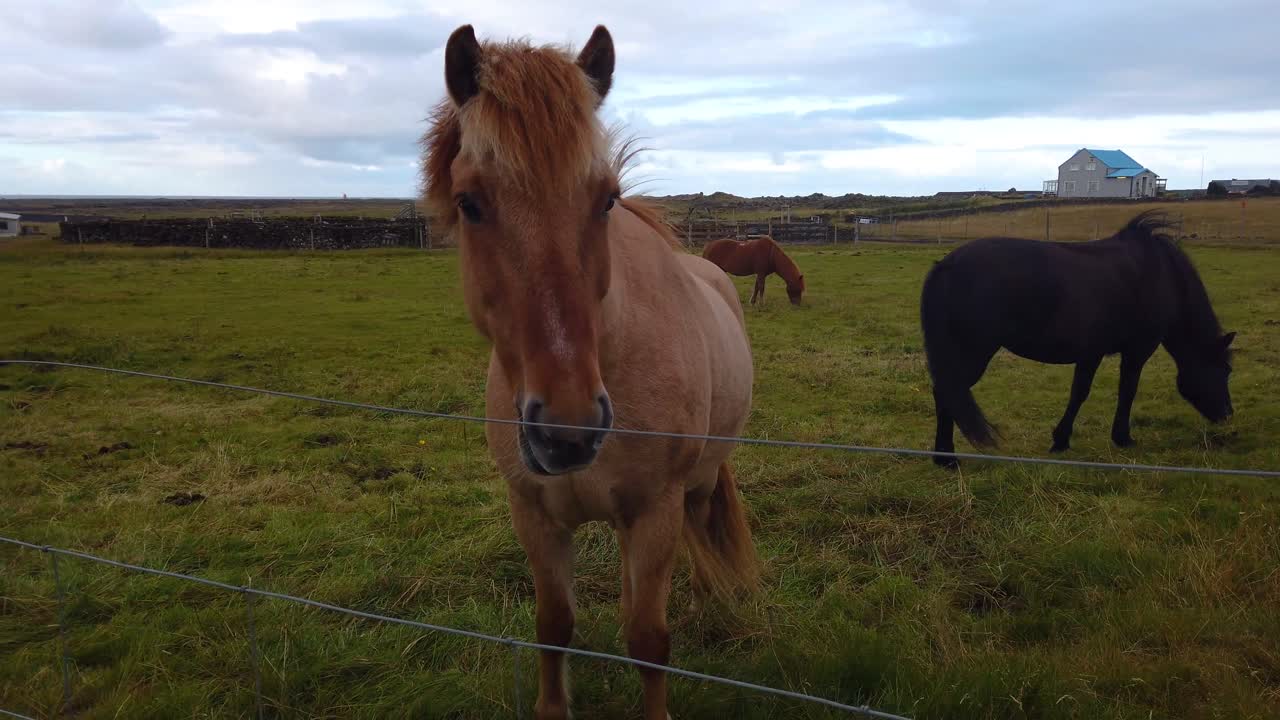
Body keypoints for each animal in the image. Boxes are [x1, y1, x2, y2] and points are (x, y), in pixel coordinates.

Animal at [422, 25, 758, 720]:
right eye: (469, 203)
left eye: (607, 200)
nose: (568, 430)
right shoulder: (535, 515)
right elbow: (554, 626)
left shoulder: (654, 511)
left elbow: (649, 639)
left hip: (700, 479)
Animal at [921, 210, 1235, 468]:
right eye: (1225, 370)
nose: (1227, 414)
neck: (1159, 276)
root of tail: (945, 265)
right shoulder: (1134, 352)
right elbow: (1120, 391)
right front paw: (1118, 438)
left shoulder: (1092, 353)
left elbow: (1082, 392)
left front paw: (1063, 440)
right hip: (973, 352)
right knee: (948, 391)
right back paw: (947, 458)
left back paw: (942, 456)